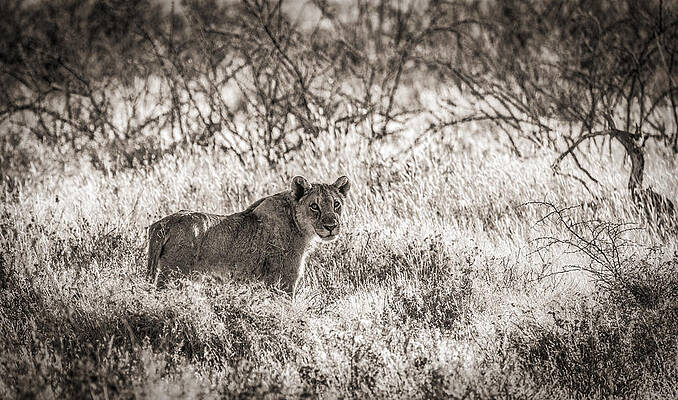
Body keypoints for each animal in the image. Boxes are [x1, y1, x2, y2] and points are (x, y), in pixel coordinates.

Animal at [147, 175, 350, 296]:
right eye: (314, 206)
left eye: (336, 204)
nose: (331, 226)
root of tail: (164, 223)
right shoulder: (284, 281)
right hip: (173, 277)